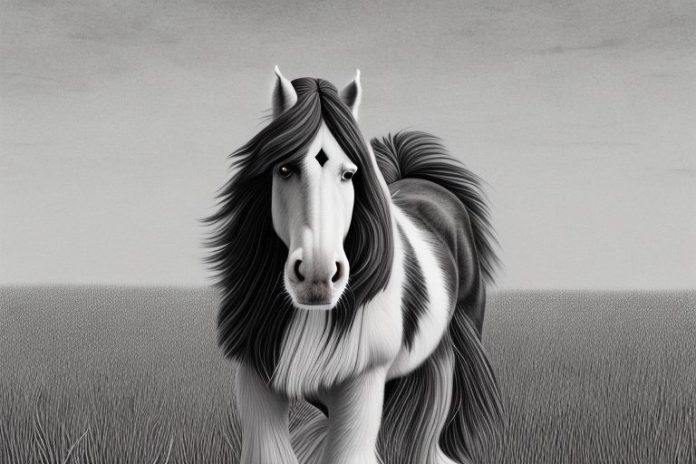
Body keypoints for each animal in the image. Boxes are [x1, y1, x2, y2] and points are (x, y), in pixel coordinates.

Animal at [206, 67, 504, 464]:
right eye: (283, 168)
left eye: (349, 173)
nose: (317, 277)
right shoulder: (256, 378)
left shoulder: (362, 381)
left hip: (450, 345)